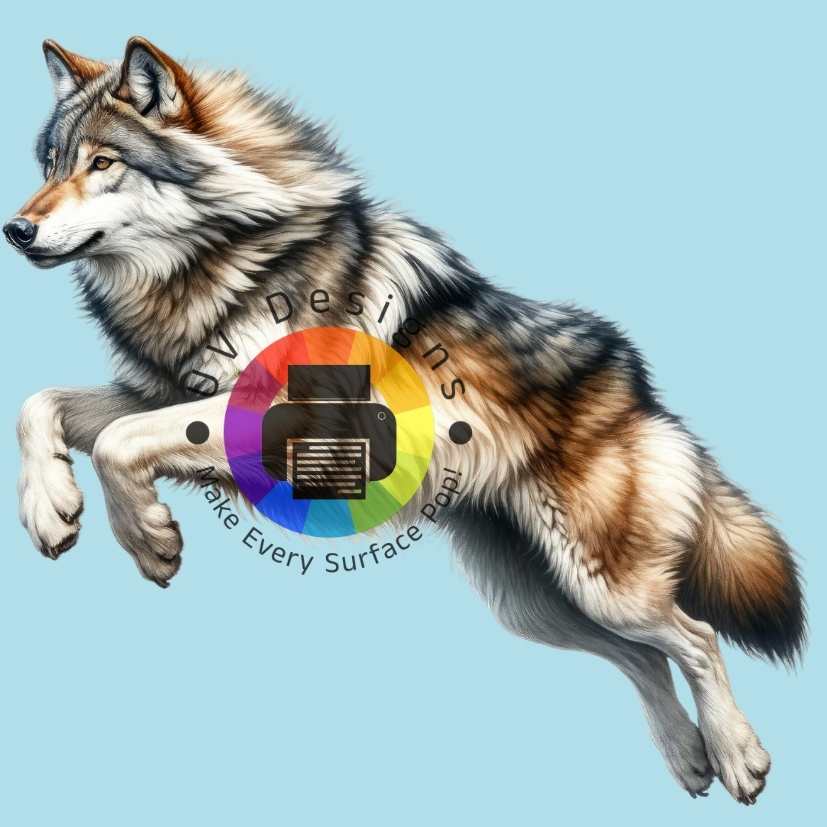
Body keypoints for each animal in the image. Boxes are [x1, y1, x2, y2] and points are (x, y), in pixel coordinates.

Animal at [5, 38, 804, 804]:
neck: (221, 259)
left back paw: (739, 758)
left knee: (697, 636)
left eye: (102, 163)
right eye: (49, 164)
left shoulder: (285, 416)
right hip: (540, 605)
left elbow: (115, 442)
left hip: (602, 587)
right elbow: (42, 406)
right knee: (645, 657)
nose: (15, 229)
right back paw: (690, 759)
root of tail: (638, 385)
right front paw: (52, 511)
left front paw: (150, 542)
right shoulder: (164, 398)